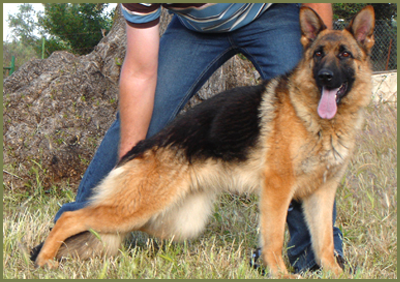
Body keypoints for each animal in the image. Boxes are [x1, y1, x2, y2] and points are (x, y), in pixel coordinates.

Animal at [31, 6, 376, 278]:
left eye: (344, 54)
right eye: (318, 54)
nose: (326, 77)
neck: (319, 122)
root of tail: (138, 149)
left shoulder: (322, 193)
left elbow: (324, 242)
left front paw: (335, 273)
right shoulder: (278, 189)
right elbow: (275, 237)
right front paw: (279, 273)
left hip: (171, 220)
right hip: (138, 208)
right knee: (72, 218)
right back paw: (44, 259)